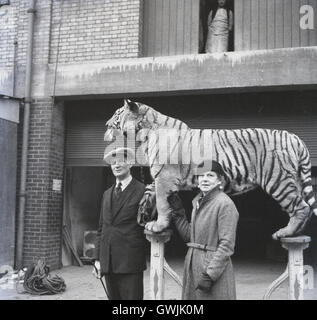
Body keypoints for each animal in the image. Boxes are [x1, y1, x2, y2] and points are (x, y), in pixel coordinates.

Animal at [104, 99, 316, 239]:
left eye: (116, 114)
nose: (106, 124)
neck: (144, 132)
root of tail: (295, 137)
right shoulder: (161, 178)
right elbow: (153, 193)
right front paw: (146, 209)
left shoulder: (164, 177)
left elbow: (163, 203)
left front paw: (158, 225)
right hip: (294, 179)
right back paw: (296, 232)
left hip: (278, 180)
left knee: (301, 207)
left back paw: (286, 232)